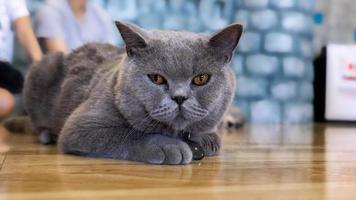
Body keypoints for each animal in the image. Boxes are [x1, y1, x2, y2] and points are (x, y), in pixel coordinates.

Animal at [22, 21, 243, 165]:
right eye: (156, 78)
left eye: (201, 79)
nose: (179, 97)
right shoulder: (80, 127)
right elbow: (128, 134)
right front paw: (170, 147)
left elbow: (214, 138)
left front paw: (205, 139)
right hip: (43, 67)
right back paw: (46, 135)